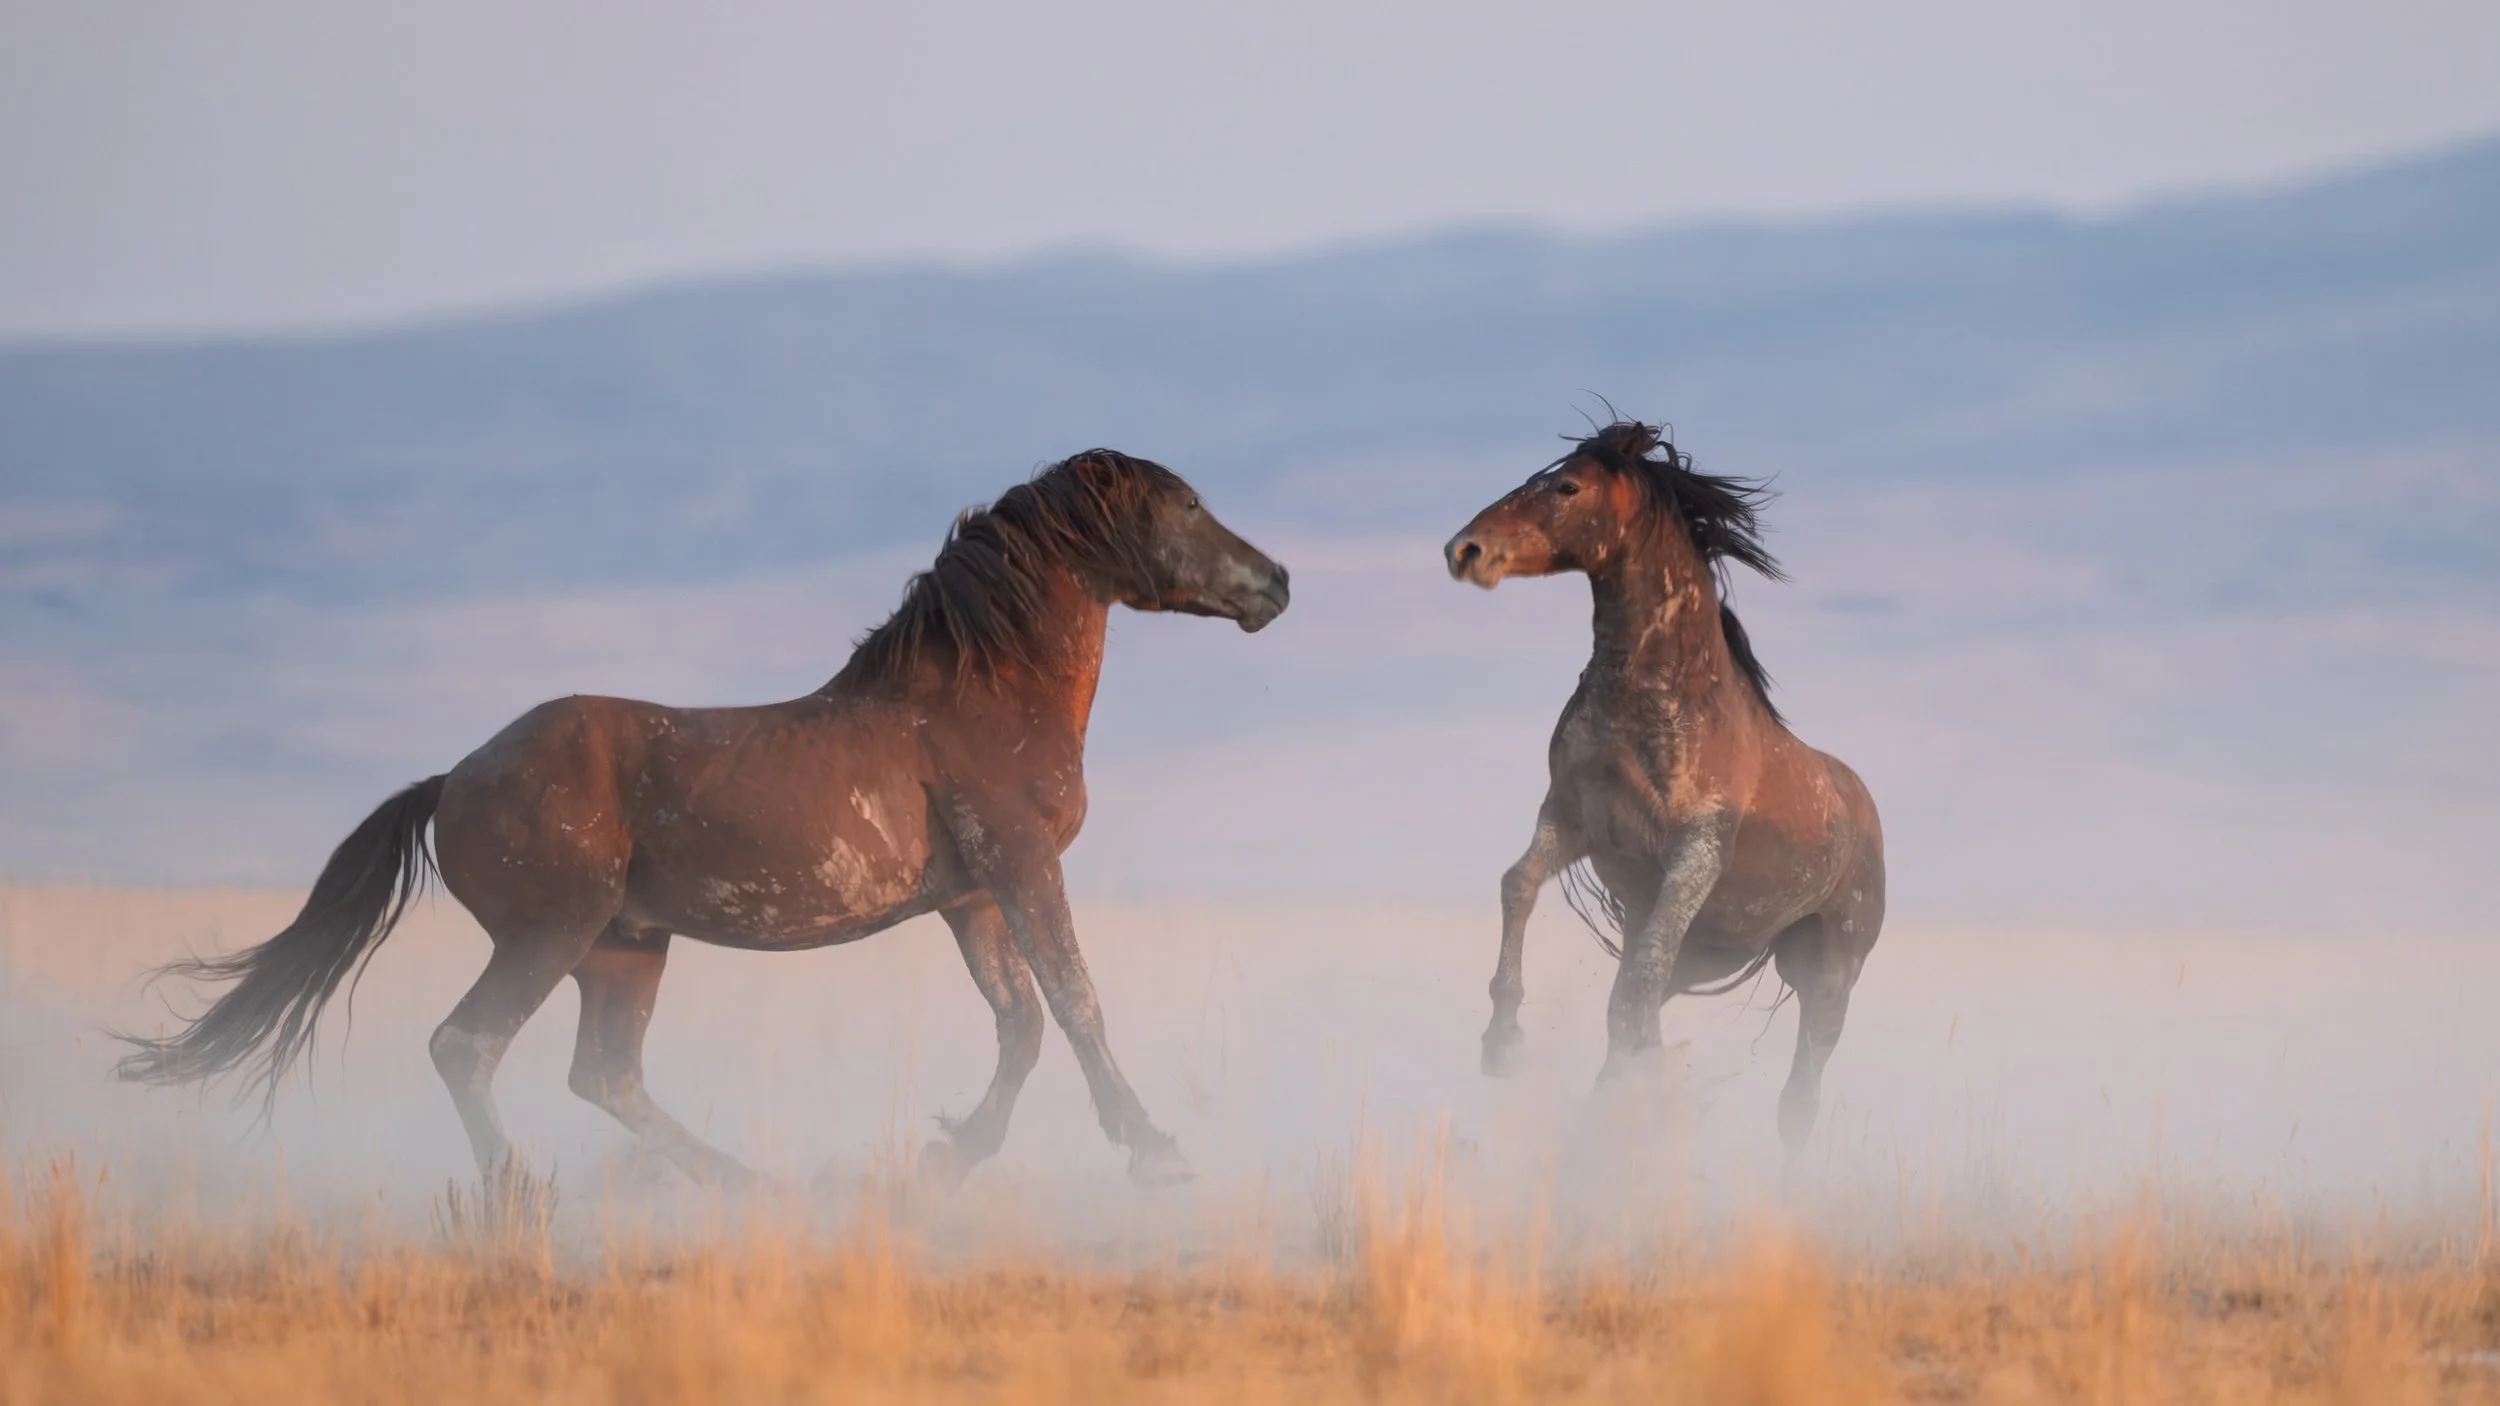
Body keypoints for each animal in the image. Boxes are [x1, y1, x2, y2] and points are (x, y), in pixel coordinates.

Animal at [116, 449, 1291, 1192]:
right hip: (553, 934)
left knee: (605, 1074)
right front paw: (1157, 1152)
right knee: (468, 1045)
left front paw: (948, 1158)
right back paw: (517, 1193)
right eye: (1183, 504)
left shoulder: (970, 900)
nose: (1275, 580)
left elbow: (1023, 1024)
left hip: (625, 948)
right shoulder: (1024, 867)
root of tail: (453, 779)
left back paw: (746, 1182)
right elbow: (1079, 1007)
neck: (982, 699)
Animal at [1442, 419, 1884, 1175]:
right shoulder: (1572, 820)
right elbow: (1518, 884)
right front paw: (1501, 1040)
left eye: (1567, 487)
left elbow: (1640, 980)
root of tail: (1863, 806)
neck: (1650, 697)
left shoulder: (1695, 853)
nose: (1464, 550)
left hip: (1828, 977)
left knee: (1798, 1099)